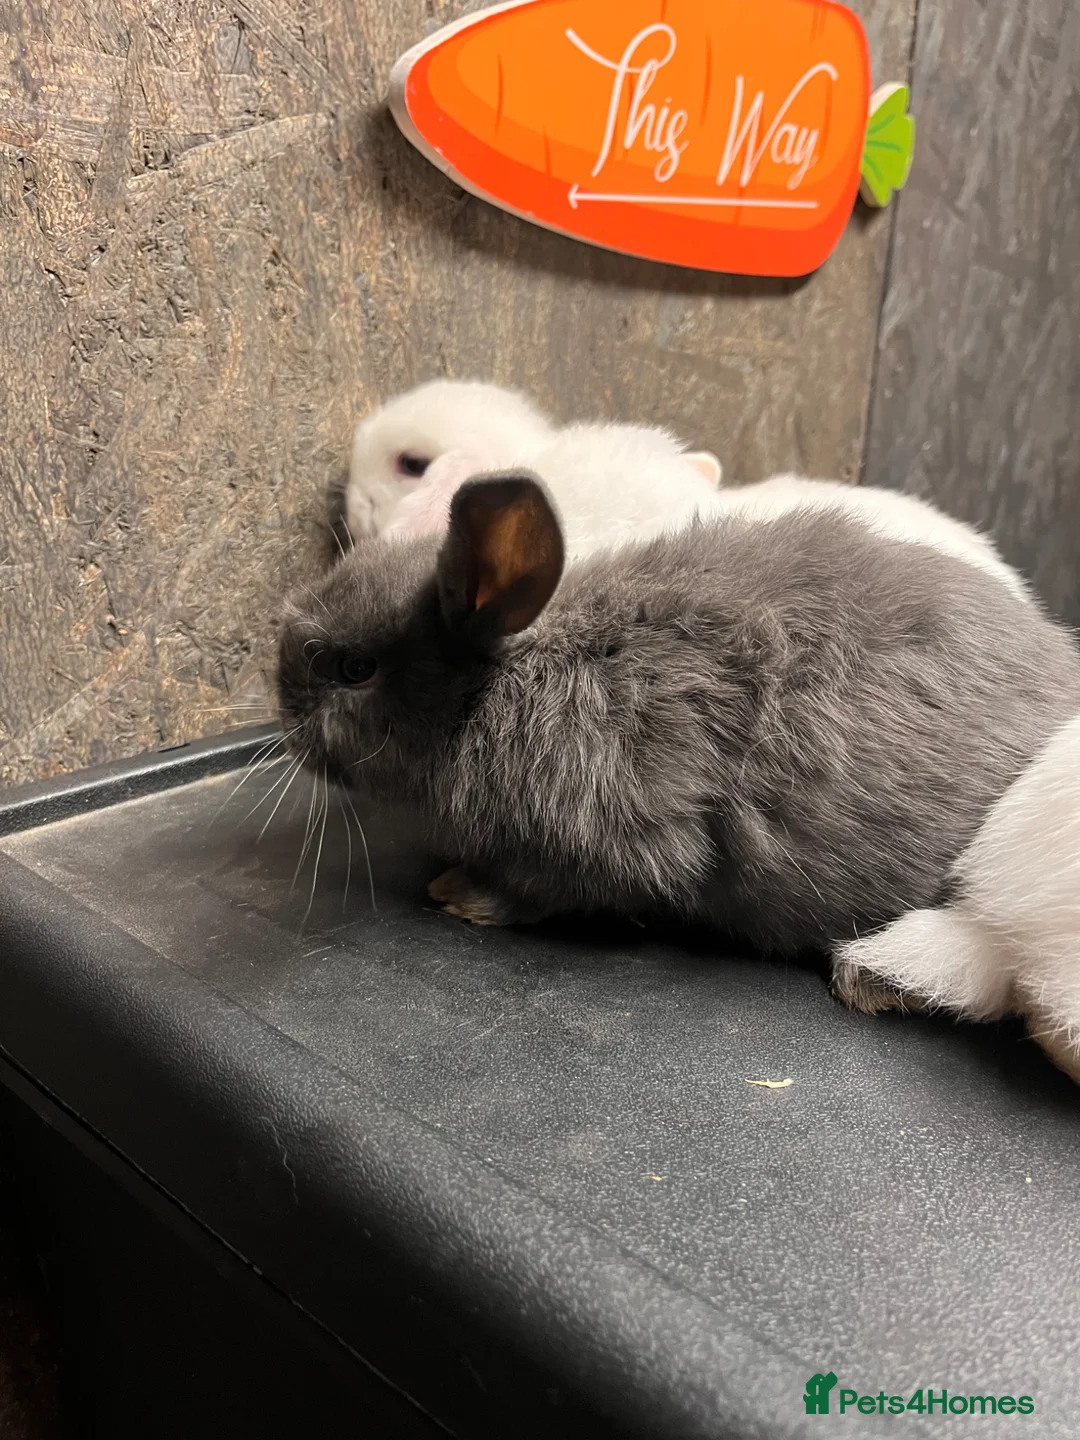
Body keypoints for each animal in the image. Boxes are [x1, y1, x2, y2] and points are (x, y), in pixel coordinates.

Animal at [278, 474, 1080, 978]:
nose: (281, 701)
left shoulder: (618, 842)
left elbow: (546, 889)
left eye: (355, 669)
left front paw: (460, 895)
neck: (500, 689)